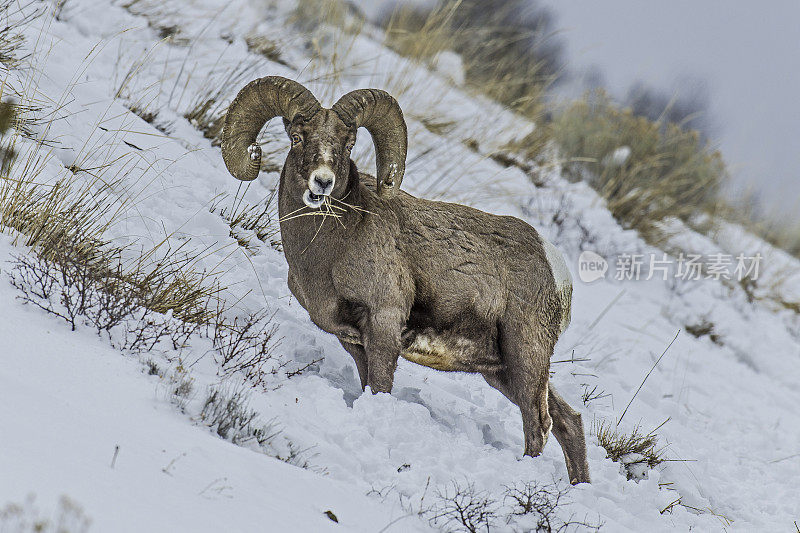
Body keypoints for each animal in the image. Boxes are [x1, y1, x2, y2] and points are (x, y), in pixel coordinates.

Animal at [222, 77, 592, 484]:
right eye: (297, 137)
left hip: (526, 358)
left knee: (539, 424)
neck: (330, 248)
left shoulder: (384, 322)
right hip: (502, 370)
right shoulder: (353, 340)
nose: (322, 183)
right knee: (568, 422)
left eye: (347, 144)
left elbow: (381, 388)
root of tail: (556, 269)